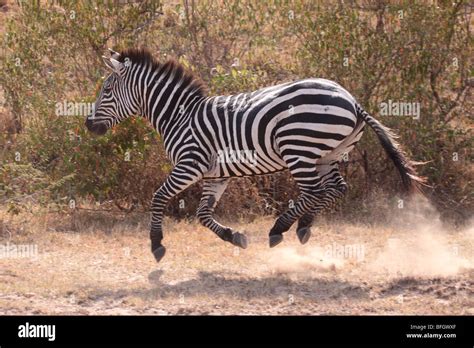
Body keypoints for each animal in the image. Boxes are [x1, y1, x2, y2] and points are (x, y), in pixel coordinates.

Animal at [83, 47, 424, 262]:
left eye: (107, 91)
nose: (88, 125)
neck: (179, 116)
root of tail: (352, 100)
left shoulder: (190, 165)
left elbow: (158, 197)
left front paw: (156, 244)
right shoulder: (215, 175)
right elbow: (203, 214)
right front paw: (234, 236)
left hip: (298, 150)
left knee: (315, 191)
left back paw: (280, 228)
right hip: (328, 155)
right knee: (335, 188)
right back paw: (302, 226)